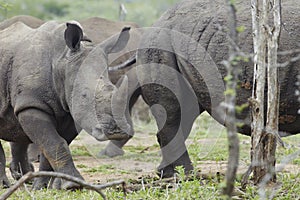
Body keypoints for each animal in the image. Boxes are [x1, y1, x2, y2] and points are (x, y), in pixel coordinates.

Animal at [104, 0, 298, 178]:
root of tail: (155, 24)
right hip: (160, 43)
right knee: (173, 111)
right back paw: (184, 176)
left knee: (186, 112)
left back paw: (168, 174)